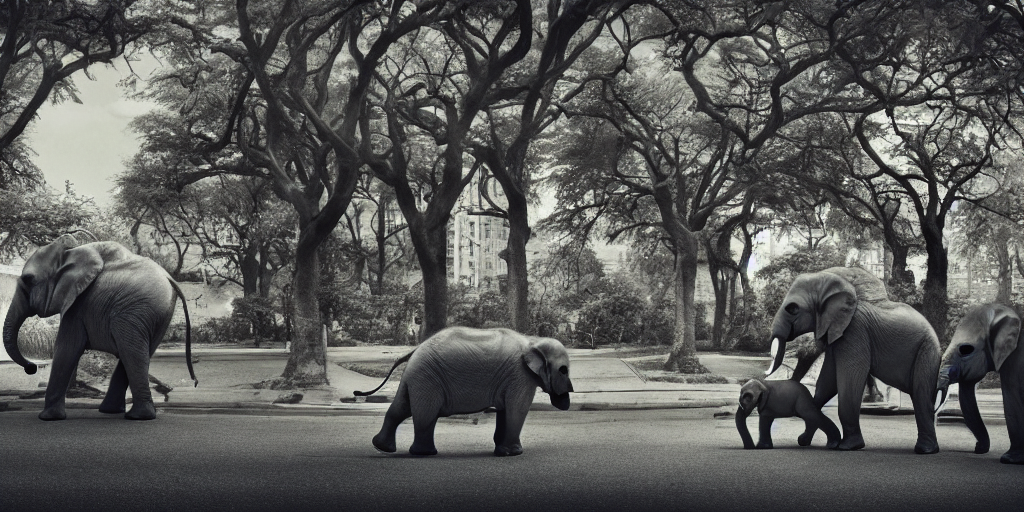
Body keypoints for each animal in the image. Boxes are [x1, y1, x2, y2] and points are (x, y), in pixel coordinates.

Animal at [2, 237, 195, 421]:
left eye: (28, 279)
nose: (32, 367)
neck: (71, 252)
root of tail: (170, 279)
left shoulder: (78, 304)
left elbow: (66, 348)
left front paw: (47, 418)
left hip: (137, 309)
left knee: (131, 352)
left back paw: (137, 417)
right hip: (158, 314)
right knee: (137, 353)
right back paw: (112, 411)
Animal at [356, 325, 573, 458]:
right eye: (563, 370)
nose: (566, 400)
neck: (533, 340)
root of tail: (415, 349)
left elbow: (505, 411)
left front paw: (501, 452)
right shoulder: (520, 376)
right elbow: (516, 411)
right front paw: (515, 453)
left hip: (416, 377)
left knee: (401, 408)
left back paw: (382, 447)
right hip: (427, 378)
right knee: (425, 415)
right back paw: (424, 454)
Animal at [765, 266, 937, 454]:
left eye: (793, 309)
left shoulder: (854, 331)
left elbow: (849, 379)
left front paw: (848, 446)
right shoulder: (835, 334)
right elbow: (827, 382)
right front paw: (805, 440)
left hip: (927, 350)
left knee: (921, 394)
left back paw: (925, 450)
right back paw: (929, 449)